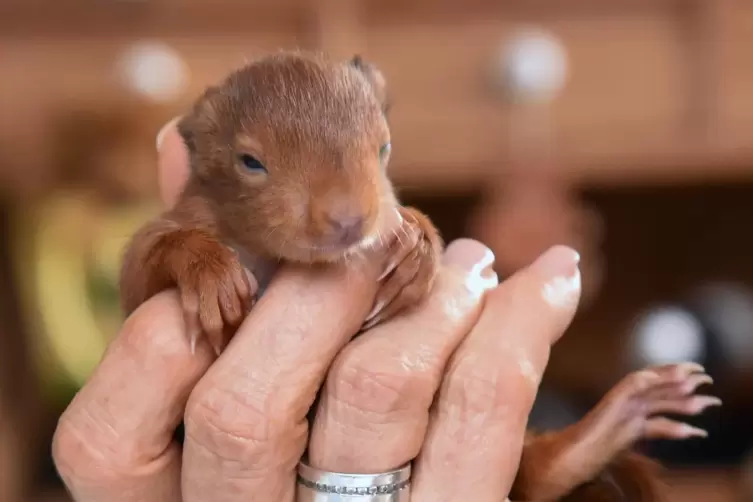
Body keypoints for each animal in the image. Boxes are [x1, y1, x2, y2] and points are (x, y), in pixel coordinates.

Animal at [119, 50, 716, 498]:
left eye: (383, 147)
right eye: (250, 162)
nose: (349, 219)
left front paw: (417, 247)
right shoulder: (166, 245)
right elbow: (148, 262)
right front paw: (210, 274)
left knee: (542, 473)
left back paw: (619, 417)